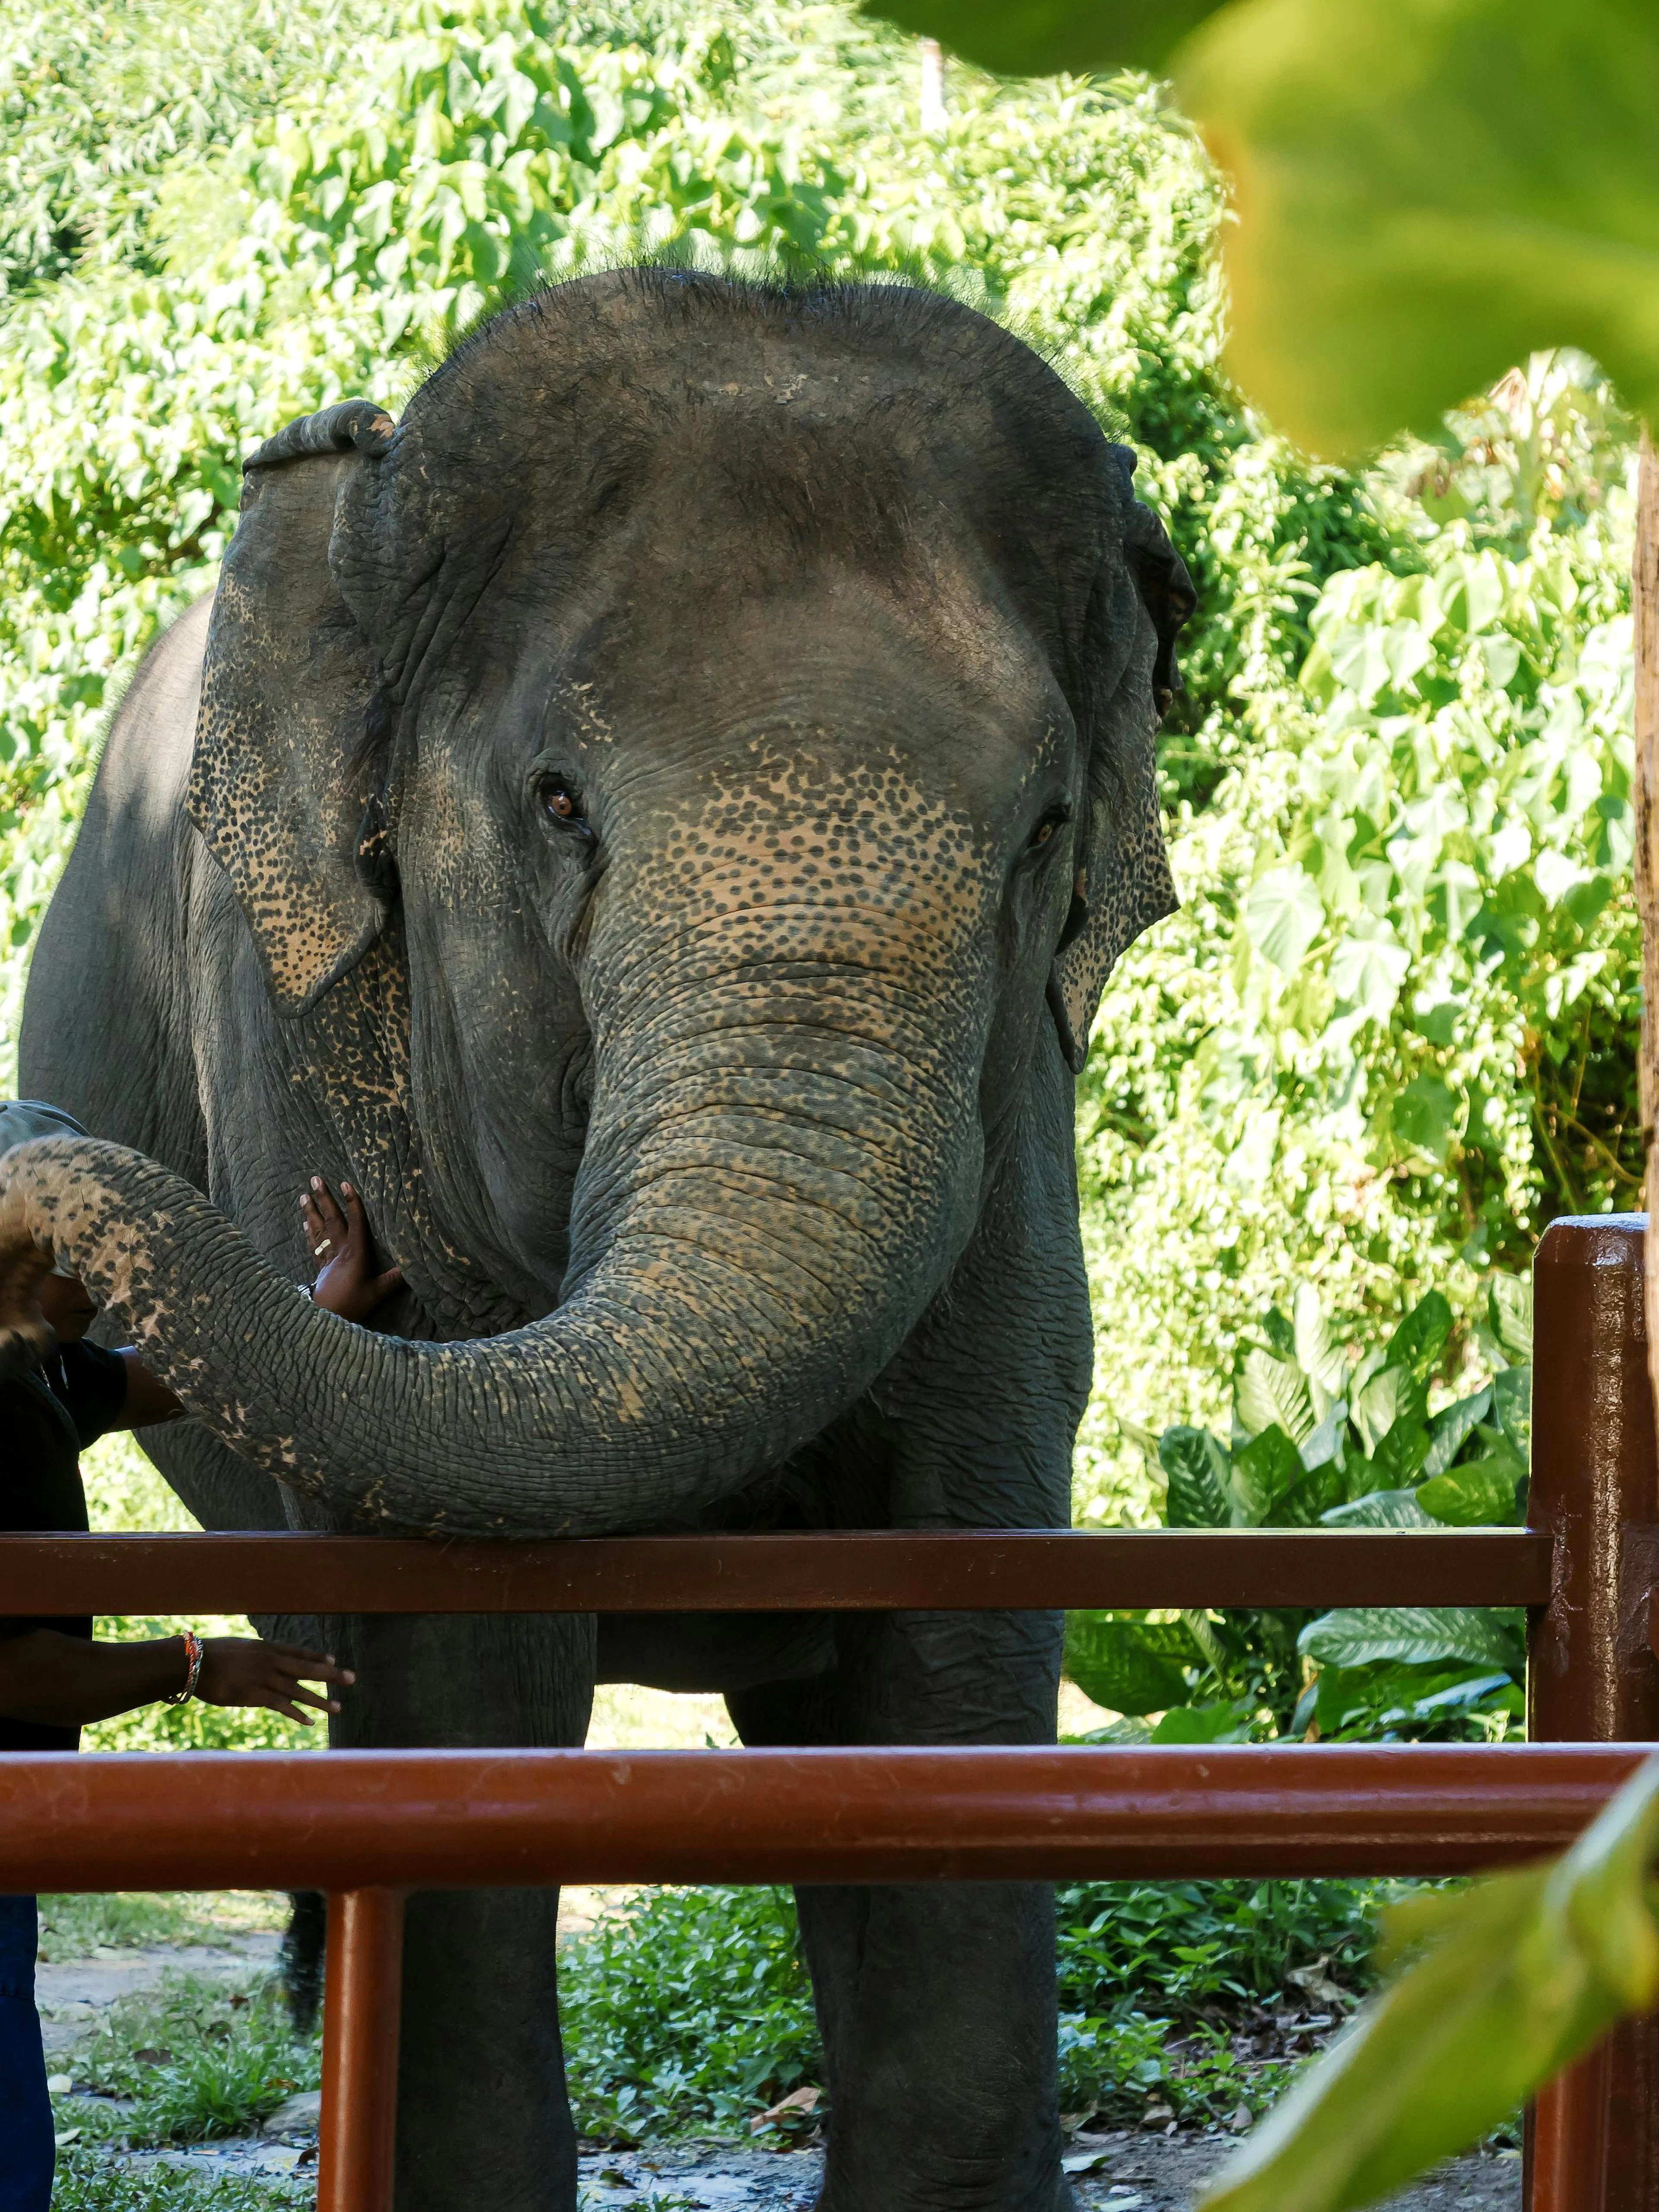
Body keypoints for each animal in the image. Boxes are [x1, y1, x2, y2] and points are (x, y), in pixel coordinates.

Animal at [2, 267, 1191, 2212]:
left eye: (1044, 836)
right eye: (558, 803)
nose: (29, 1159)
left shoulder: (1023, 1123)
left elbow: (948, 1636)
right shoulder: (296, 1022)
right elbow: (459, 1685)